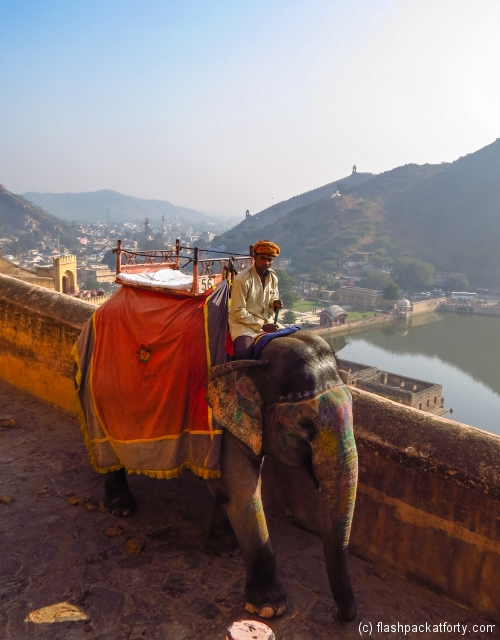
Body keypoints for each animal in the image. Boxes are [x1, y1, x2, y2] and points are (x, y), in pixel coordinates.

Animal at [103, 331, 358, 622]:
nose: (339, 616)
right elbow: (243, 490)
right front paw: (269, 609)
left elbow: (229, 489)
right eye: (306, 425)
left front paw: (223, 550)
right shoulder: (222, 421)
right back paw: (120, 508)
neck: (257, 355)